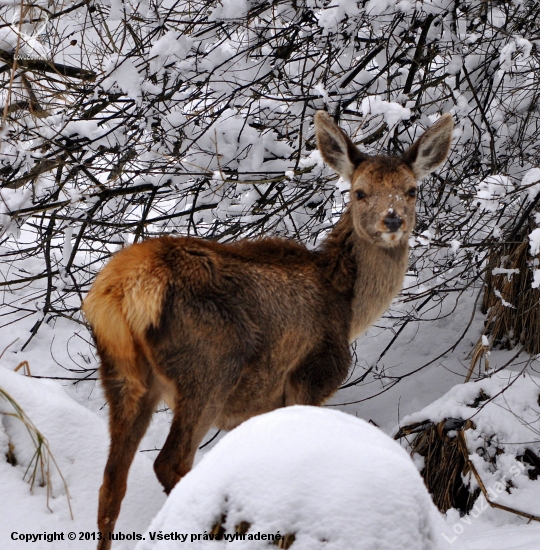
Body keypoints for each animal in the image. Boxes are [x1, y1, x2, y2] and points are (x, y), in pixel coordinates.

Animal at [83, 110, 456, 548]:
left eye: (411, 190)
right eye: (360, 192)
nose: (392, 218)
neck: (348, 307)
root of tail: (122, 291)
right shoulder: (312, 376)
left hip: (122, 376)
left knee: (110, 485)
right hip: (209, 367)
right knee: (169, 462)